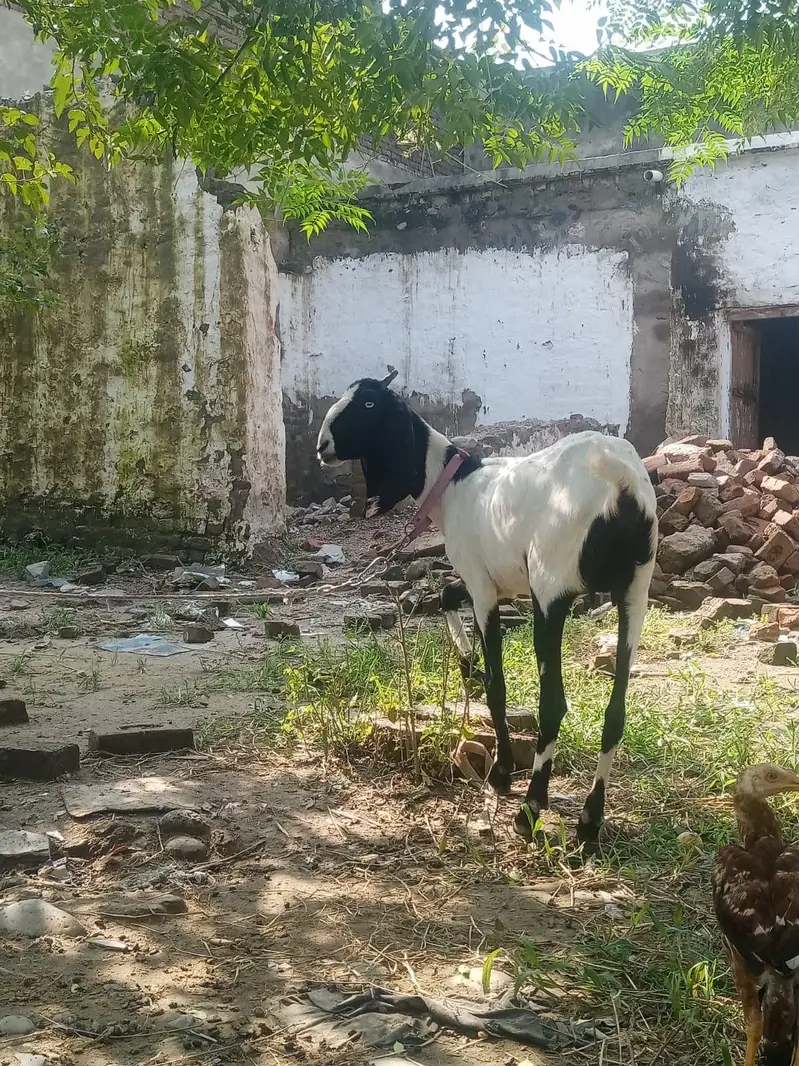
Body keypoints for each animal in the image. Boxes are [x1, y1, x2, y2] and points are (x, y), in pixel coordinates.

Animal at [317, 372, 657, 847]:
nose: (322, 446)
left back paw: (531, 809)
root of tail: (620, 483)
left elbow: (498, 682)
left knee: (553, 703)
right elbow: (446, 597)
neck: (453, 485)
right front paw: (467, 664)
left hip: (552, 589)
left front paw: (501, 771)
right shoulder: (501, 584)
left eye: (368, 404)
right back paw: (590, 819)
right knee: (616, 709)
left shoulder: (482, 587)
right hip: (635, 593)